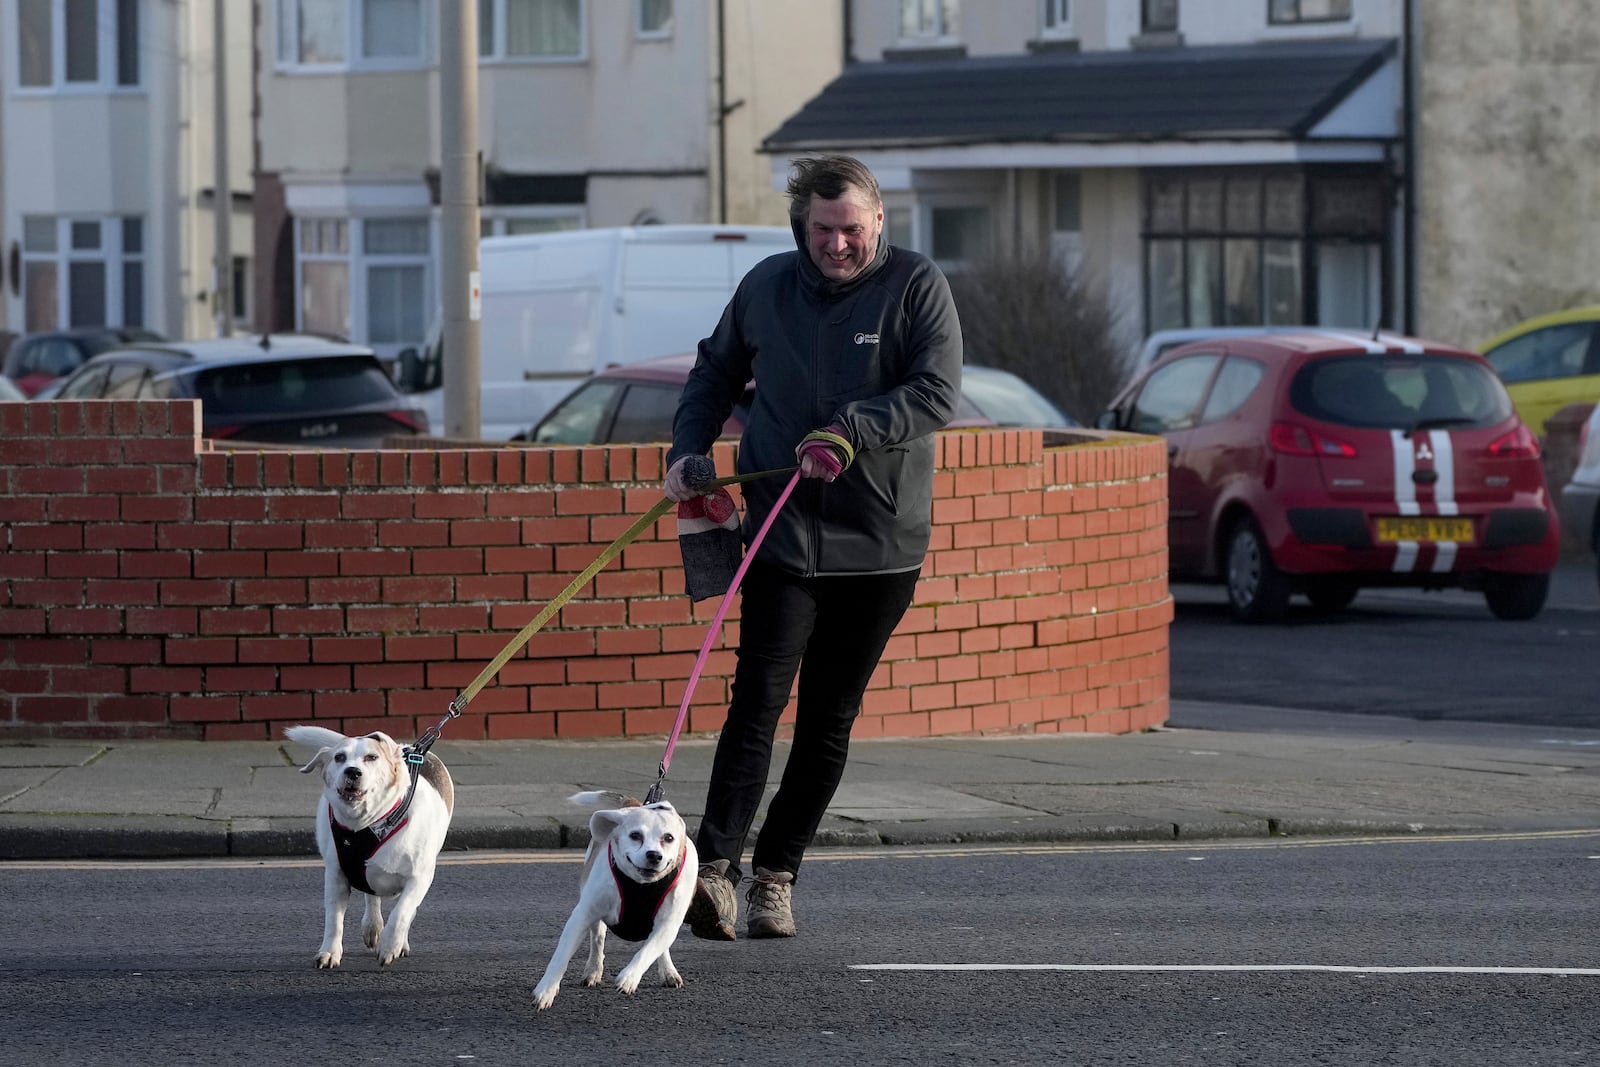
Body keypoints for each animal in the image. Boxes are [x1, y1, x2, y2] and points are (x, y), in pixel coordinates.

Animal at [281, 726, 454, 966]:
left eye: (372, 757)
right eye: (339, 757)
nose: (352, 771)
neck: (366, 824)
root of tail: (414, 748)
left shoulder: (419, 878)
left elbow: (401, 913)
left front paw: (390, 946)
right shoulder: (336, 876)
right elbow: (334, 920)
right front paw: (329, 952)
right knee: (371, 895)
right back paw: (372, 926)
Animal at [534, 793, 697, 1011]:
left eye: (668, 838)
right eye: (635, 835)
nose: (654, 855)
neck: (641, 885)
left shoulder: (669, 923)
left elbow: (648, 950)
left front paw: (629, 977)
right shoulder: (581, 916)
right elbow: (560, 956)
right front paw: (546, 989)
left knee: (659, 947)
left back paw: (668, 971)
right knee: (597, 939)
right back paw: (593, 970)